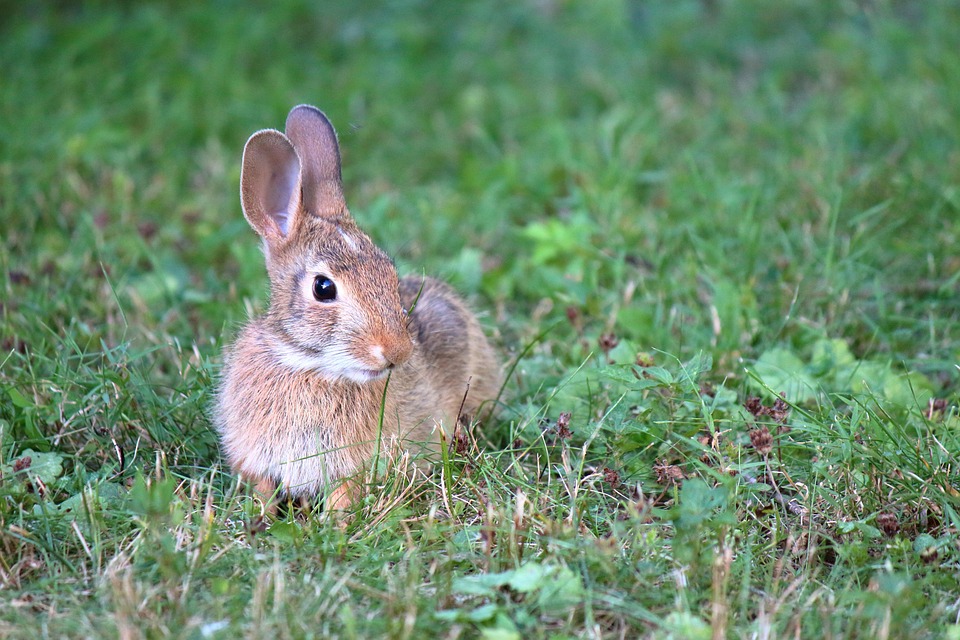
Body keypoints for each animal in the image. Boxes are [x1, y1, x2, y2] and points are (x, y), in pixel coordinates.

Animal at [213, 105, 501, 513]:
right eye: (323, 288)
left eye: (389, 274)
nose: (398, 352)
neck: (310, 366)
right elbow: (263, 489)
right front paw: (260, 515)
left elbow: (343, 496)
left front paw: (335, 522)